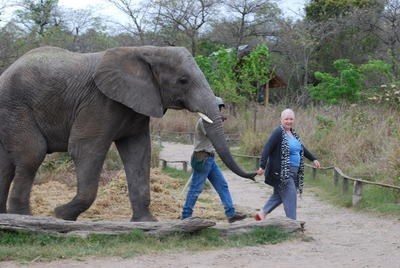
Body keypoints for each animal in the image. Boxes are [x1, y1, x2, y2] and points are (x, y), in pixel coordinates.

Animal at [0, 46, 256, 222]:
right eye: (183, 80)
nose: (255, 175)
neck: (146, 50)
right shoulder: (99, 102)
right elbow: (85, 149)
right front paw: (61, 215)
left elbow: (138, 152)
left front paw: (146, 222)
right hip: (16, 108)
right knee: (32, 155)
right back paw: (23, 217)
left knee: (8, 164)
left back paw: (6, 216)